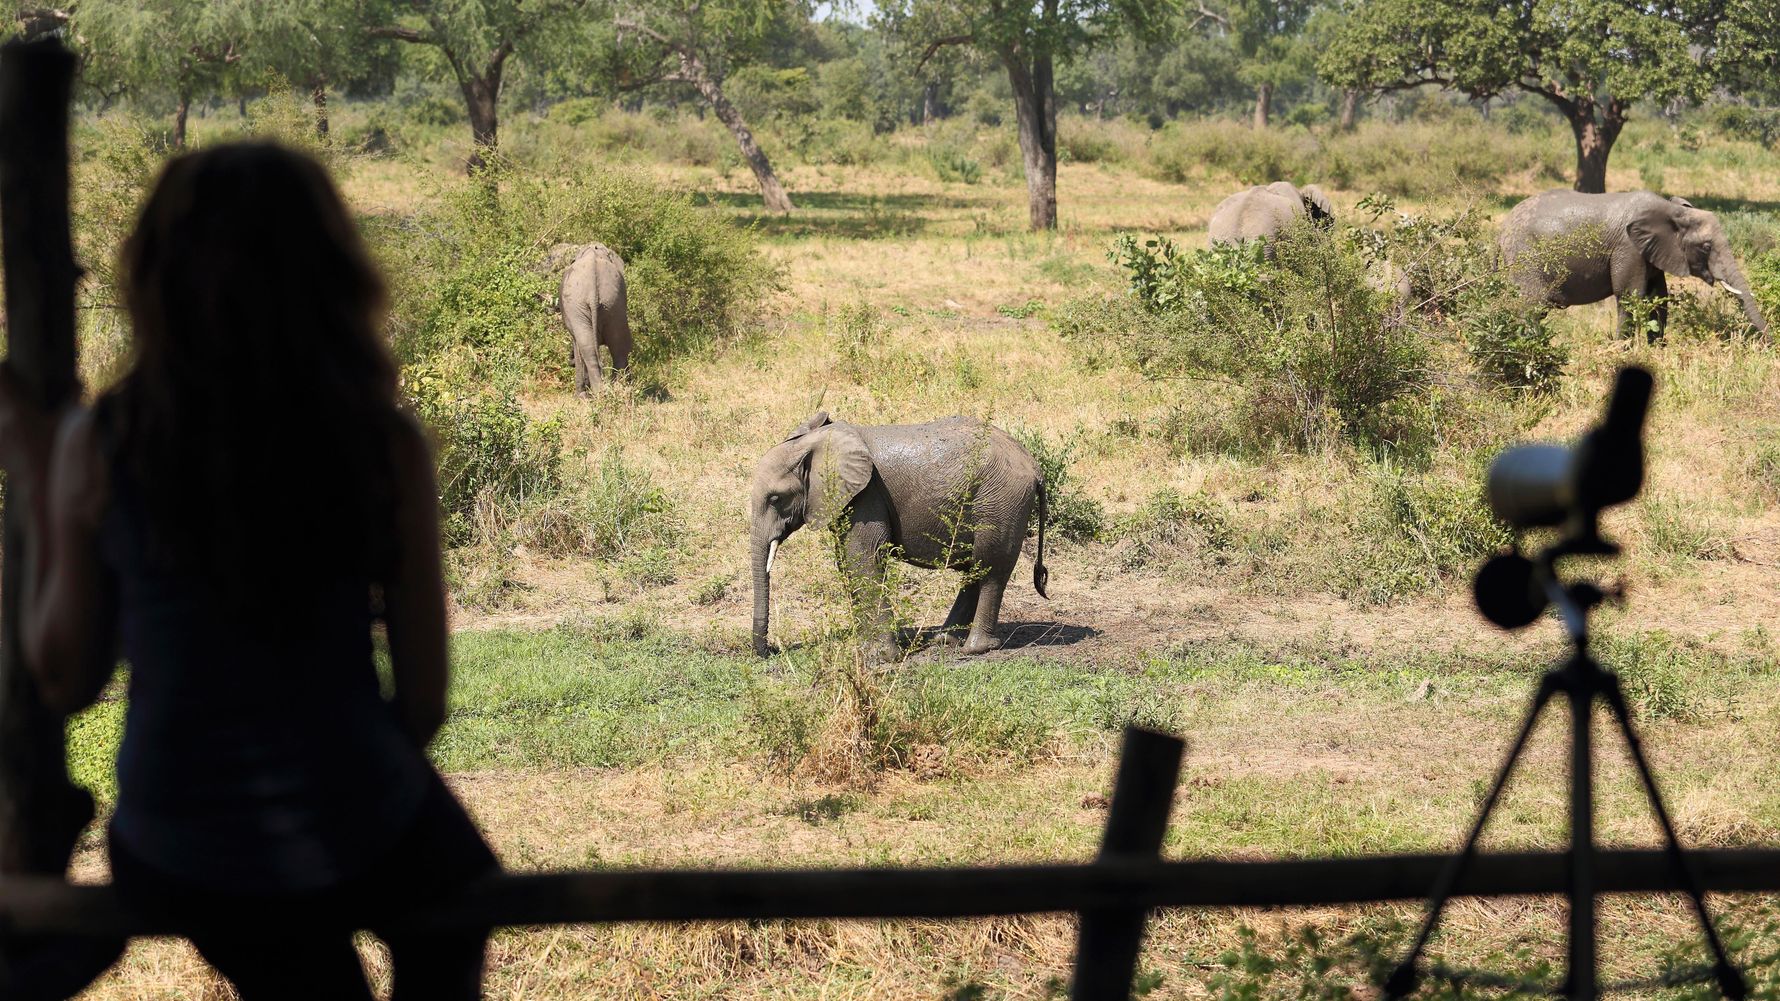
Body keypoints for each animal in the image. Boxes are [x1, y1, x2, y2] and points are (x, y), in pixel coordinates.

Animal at [557, 242, 632, 396]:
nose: (569, 361)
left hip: (578, 307)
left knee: (588, 349)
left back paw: (592, 395)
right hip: (613, 302)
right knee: (619, 347)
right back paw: (617, 390)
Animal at [748, 412, 1050, 664]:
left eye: (775, 498)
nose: (770, 651)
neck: (819, 442)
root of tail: (1035, 467)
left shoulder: (867, 494)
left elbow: (865, 557)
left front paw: (882, 658)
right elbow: (847, 562)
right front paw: (864, 650)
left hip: (1001, 501)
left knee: (989, 568)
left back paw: (975, 648)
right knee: (975, 569)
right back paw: (944, 641)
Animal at [1498, 190, 1769, 340]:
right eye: (1705, 247)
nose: (1768, 343)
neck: (1671, 210)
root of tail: (1500, 234)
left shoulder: (1651, 252)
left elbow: (1658, 298)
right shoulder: (1627, 248)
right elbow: (1630, 297)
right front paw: (1621, 352)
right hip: (1525, 260)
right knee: (1529, 308)